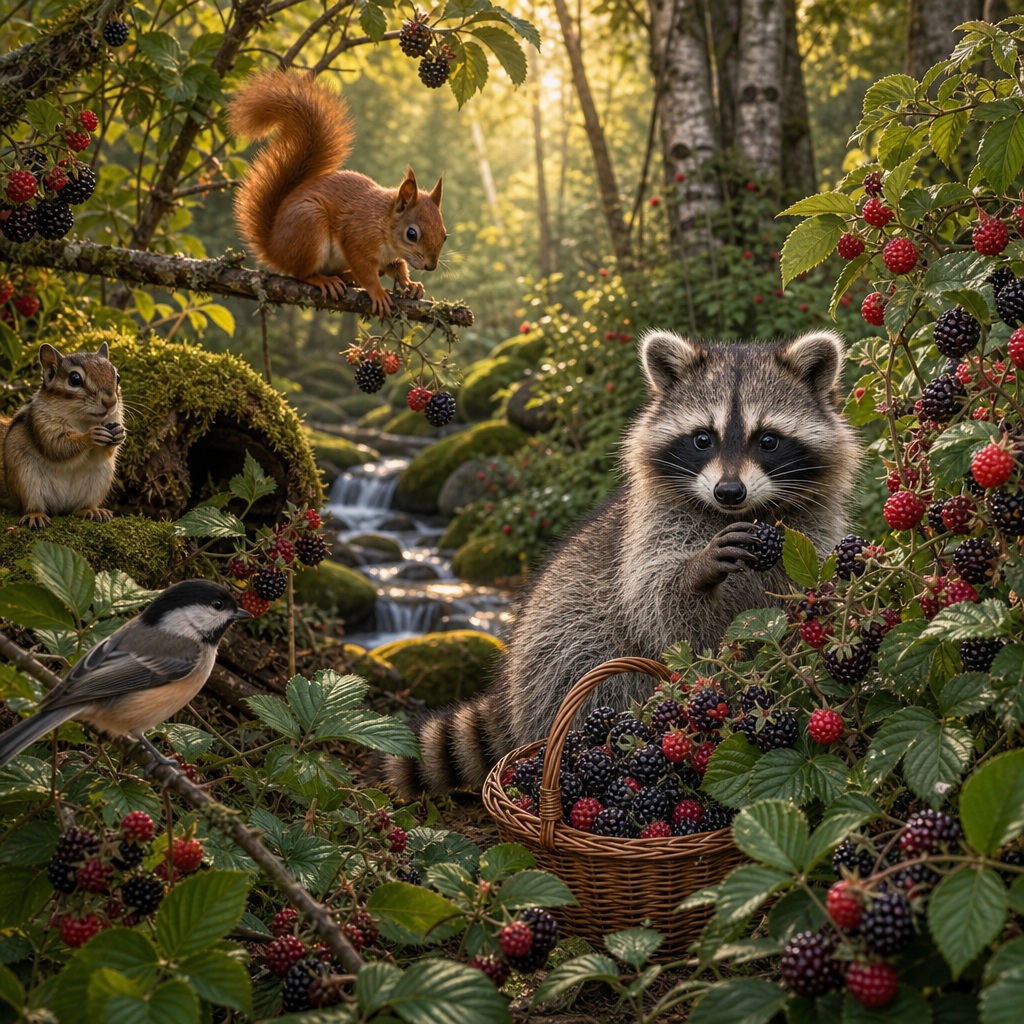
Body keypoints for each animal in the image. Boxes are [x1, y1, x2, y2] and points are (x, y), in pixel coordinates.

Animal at [380, 328, 861, 798]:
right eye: (702, 438)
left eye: (768, 440)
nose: (729, 491)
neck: (742, 515)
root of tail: (510, 698)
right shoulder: (648, 531)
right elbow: (661, 607)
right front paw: (696, 573)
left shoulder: (810, 531)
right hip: (559, 646)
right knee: (592, 662)